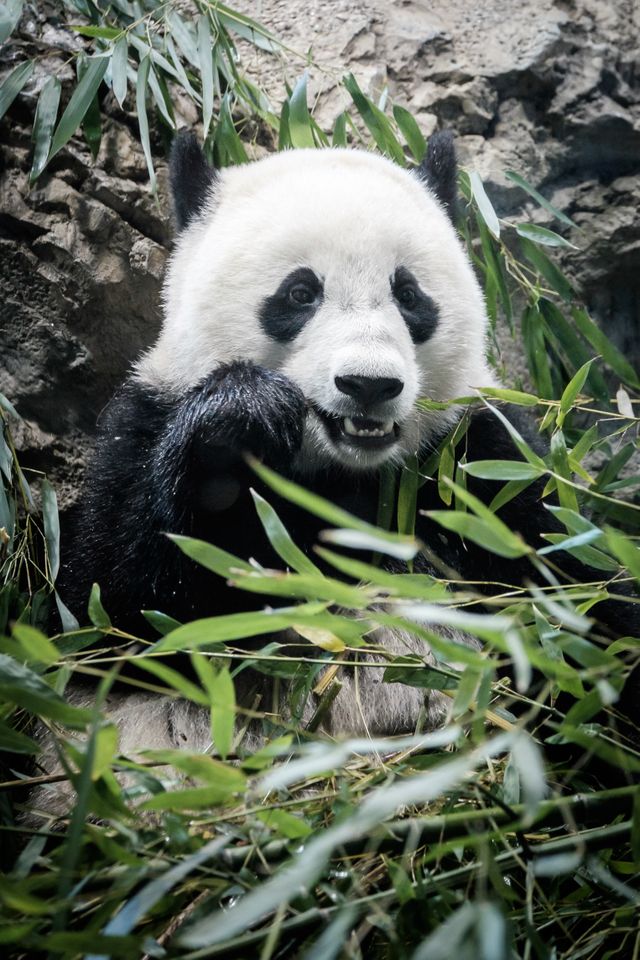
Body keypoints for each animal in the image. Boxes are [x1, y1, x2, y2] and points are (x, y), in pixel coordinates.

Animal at [56, 129, 636, 744]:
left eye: (408, 294)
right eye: (300, 293)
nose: (369, 384)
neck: (339, 472)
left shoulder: (480, 464)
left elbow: (583, 602)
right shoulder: (143, 426)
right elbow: (114, 623)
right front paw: (240, 419)